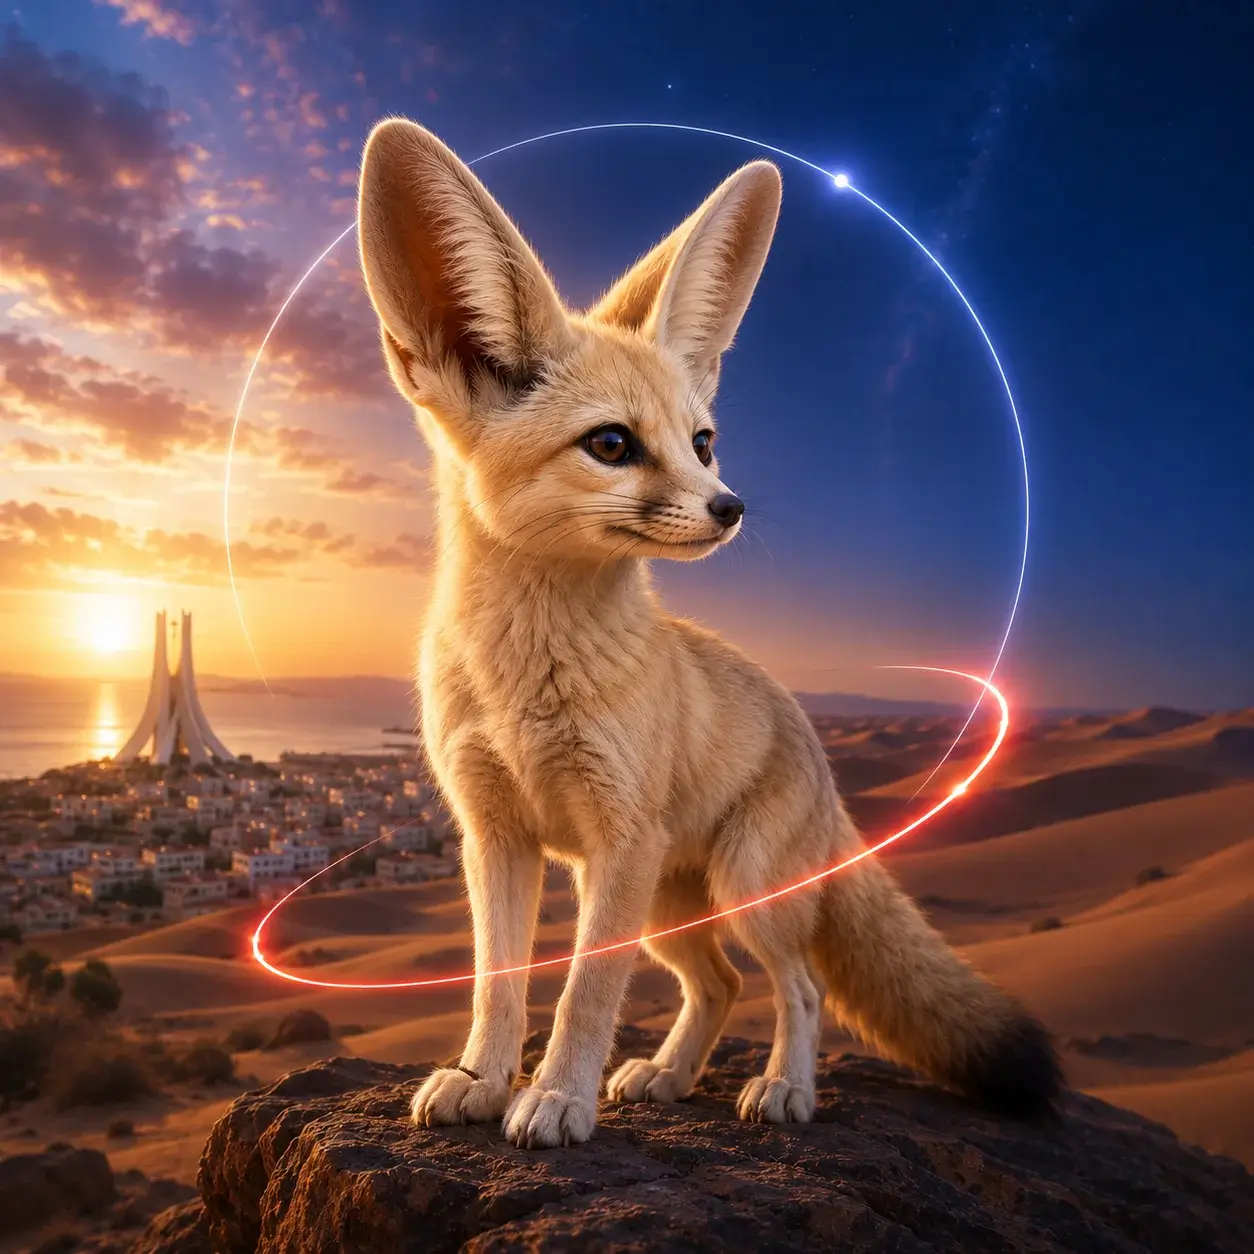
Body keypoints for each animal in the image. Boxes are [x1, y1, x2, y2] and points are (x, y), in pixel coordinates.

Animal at [356, 117, 1063, 1150]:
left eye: (702, 441)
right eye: (612, 444)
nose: (730, 508)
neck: (529, 680)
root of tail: (815, 744)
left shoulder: (616, 841)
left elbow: (583, 993)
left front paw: (555, 1099)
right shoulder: (497, 839)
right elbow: (498, 986)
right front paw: (481, 1079)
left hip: (733, 890)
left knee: (798, 986)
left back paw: (782, 1091)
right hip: (669, 905)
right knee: (721, 984)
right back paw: (668, 1077)